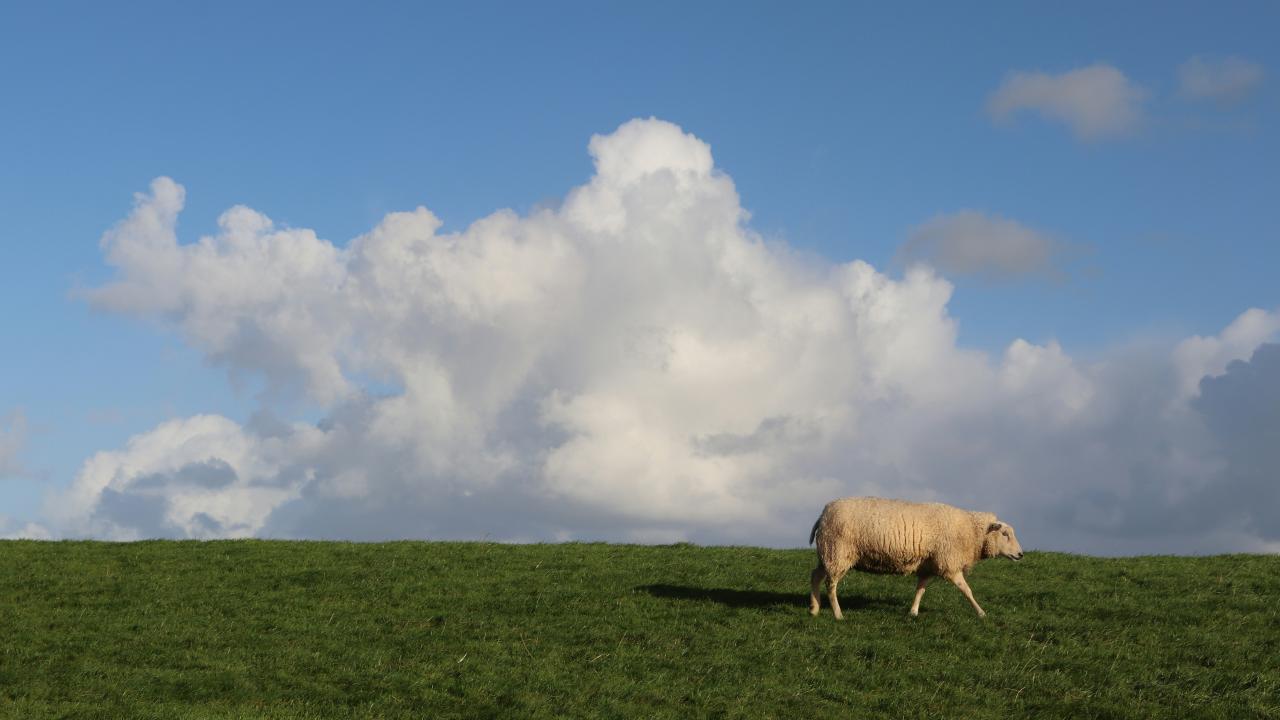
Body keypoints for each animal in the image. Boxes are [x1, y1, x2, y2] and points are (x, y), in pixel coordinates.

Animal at [808, 491, 1029, 617]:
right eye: (1005, 534)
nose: (1020, 554)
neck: (970, 531)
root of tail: (822, 514)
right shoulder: (949, 563)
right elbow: (966, 590)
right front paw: (981, 612)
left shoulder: (929, 565)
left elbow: (920, 589)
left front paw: (913, 612)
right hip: (838, 552)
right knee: (831, 585)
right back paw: (838, 614)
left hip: (827, 553)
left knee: (815, 576)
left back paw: (814, 609)